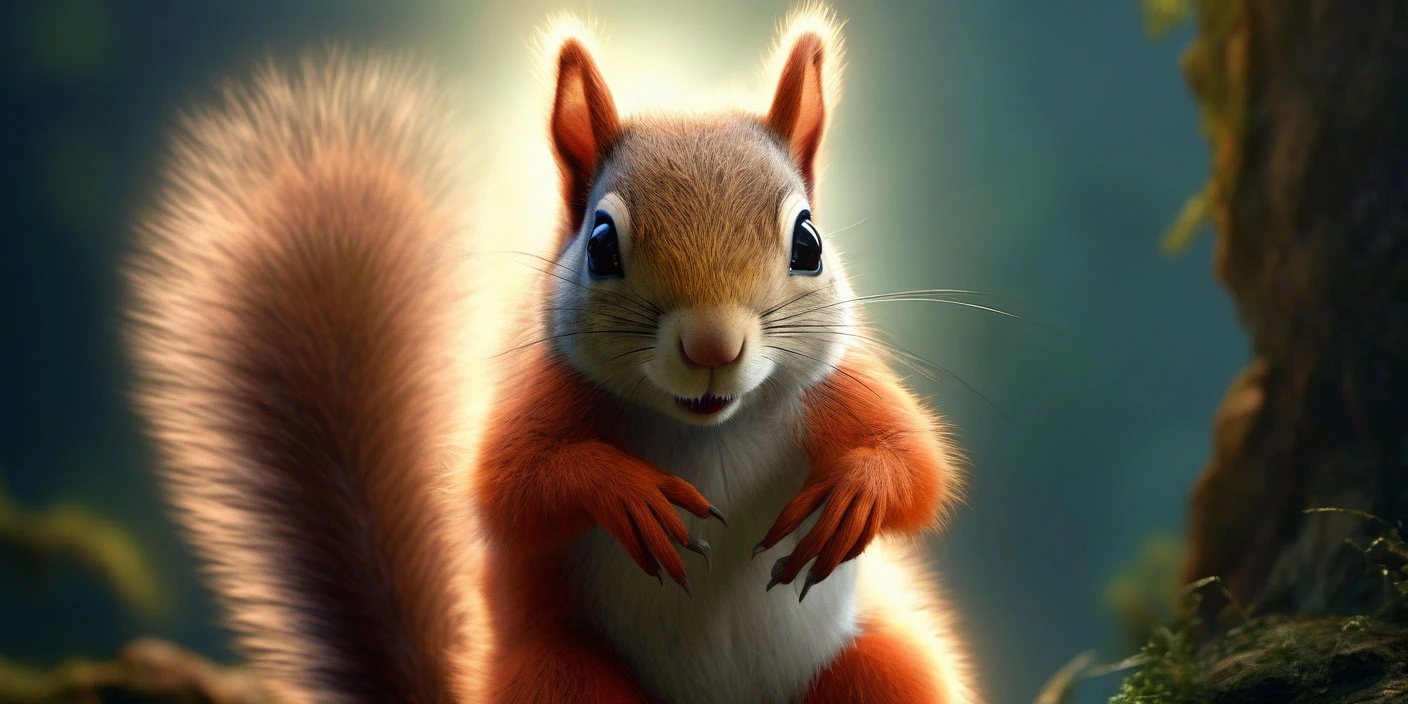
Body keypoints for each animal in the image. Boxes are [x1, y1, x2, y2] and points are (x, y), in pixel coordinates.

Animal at [125, 6, 976, 704]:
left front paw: (860, 492)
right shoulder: (550, 392)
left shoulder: (834, 389)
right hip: (560, 675)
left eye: (808, 242)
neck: (711, 428)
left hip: (878, 671)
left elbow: (920, 461)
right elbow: (506, 484)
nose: (712, 344)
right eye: (600, 243)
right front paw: (623, 492)